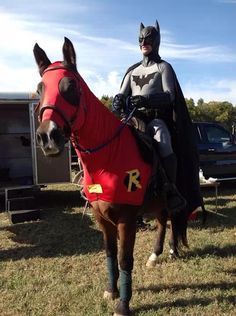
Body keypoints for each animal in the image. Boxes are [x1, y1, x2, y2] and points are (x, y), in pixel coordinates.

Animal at [32, 37, 190, 316]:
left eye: (71, 86)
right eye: (40, 88)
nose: (47, 137)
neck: (108, 158)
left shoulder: (126, 219)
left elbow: (124, 259)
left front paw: (123, 304)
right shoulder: (101, 218)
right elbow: (109, 254)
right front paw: (111, 290)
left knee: (174, 218)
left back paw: (172, 250)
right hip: (156, 203)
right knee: (162, 221)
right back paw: (155, 254)